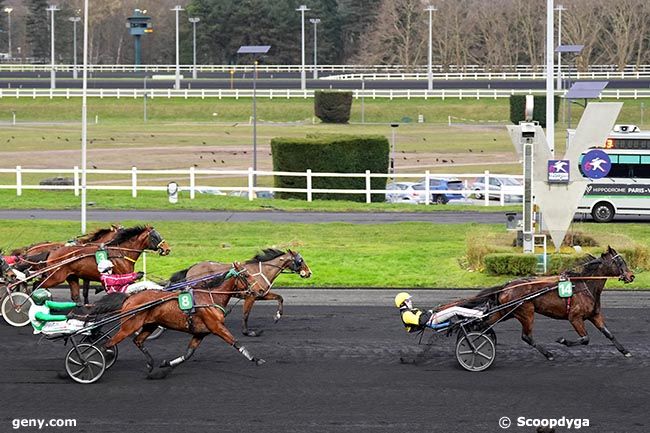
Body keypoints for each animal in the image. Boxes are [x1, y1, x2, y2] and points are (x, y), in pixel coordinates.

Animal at [37, 224, 170, 302]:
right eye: (155, 236)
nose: (167, 249)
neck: (121, 252)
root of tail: (52, 252)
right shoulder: (121, 276)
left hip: (71, 276)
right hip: (55, 277)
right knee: (37, 285)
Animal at [104, 260, 266, 378]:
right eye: (246, 276)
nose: (261, 290)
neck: (210, 297)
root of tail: (129, 297)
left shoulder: (200, 333)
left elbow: (188, 354)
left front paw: (165, 366)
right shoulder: (217, 327)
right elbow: (236, 342)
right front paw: (257, 359)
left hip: (150, 325)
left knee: (137, 341)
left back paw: (150, 364)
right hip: (128, 327)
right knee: (108, 344)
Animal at [170, 248, 312, 336]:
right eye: (300, 260)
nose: (309, 273)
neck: (261, 271)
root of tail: (191, 268)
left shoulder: (261, 293)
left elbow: (280, 297)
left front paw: (277, 316)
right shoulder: (251, 296)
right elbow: (245, 314)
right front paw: (247, 332)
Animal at [460, 245, 632, 360]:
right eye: (620, 262)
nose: (631, 276)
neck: (586, 286)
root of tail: (507, 286)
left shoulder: (594, 315)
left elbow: (608, 333)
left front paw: (625, 351)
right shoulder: (575, 317)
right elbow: (585, 339)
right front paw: (562, 340)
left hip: (506, 312)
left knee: (484, 325)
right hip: (526, 312)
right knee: (526, 336)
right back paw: (548, 354)